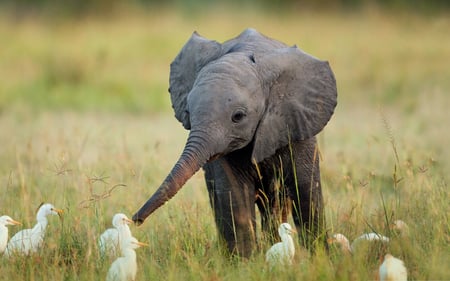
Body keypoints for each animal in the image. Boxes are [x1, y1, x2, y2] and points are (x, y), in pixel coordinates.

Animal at [134, 27, 338, 256]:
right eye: (187, 112)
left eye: (238, 116)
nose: (136, 220)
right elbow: (234, 195)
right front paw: (244, 261)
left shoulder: (296, 123)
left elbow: (305, 190)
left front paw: (320, 257)